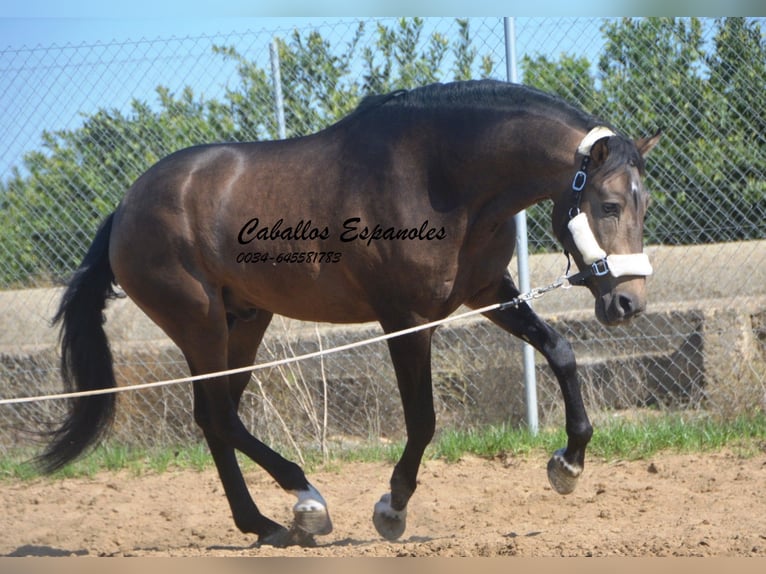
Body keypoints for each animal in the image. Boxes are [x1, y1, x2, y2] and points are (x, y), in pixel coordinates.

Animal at [42, 79, 664, 548]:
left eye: (644, 205)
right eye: (609, 205)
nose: (628, 303)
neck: (440, 177)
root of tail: (125, 207)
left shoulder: (486, 291)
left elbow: (561, 352)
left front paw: (568, 465)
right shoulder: (405, 320)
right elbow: (423, 420)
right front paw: (392, 508)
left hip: (244, 321)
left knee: (216, 418)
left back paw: (268, 524)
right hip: (200, 324)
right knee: (217, 416)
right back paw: (305, 503)